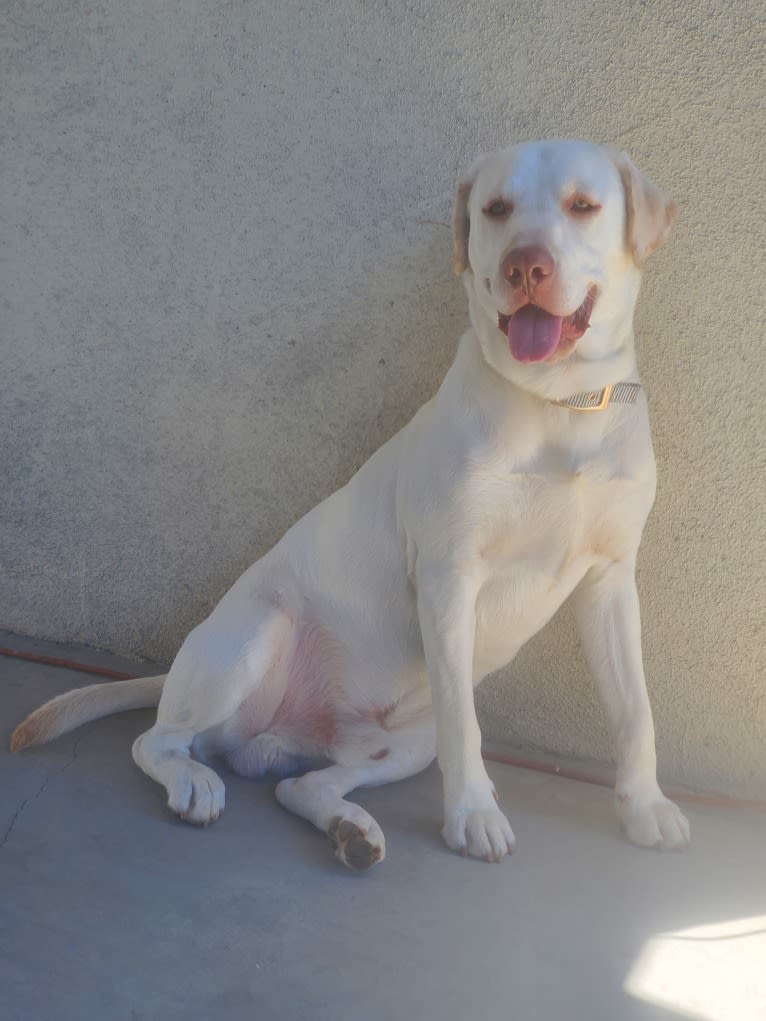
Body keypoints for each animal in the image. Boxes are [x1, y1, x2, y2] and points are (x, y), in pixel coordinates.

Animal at [9, 137, 694, 869]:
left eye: (583, 205)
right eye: (497, 209)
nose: (524, 265)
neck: (562, 404)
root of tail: (284, 735)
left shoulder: (610, 582)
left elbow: (635, 711)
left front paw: (645, 806)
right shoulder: (450, 578)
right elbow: (468, 731)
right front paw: (474, 814)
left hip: (405, 742)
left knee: (301, 786)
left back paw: (350, 827)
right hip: (255, 637)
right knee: (157, 740)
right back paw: (194, 782)